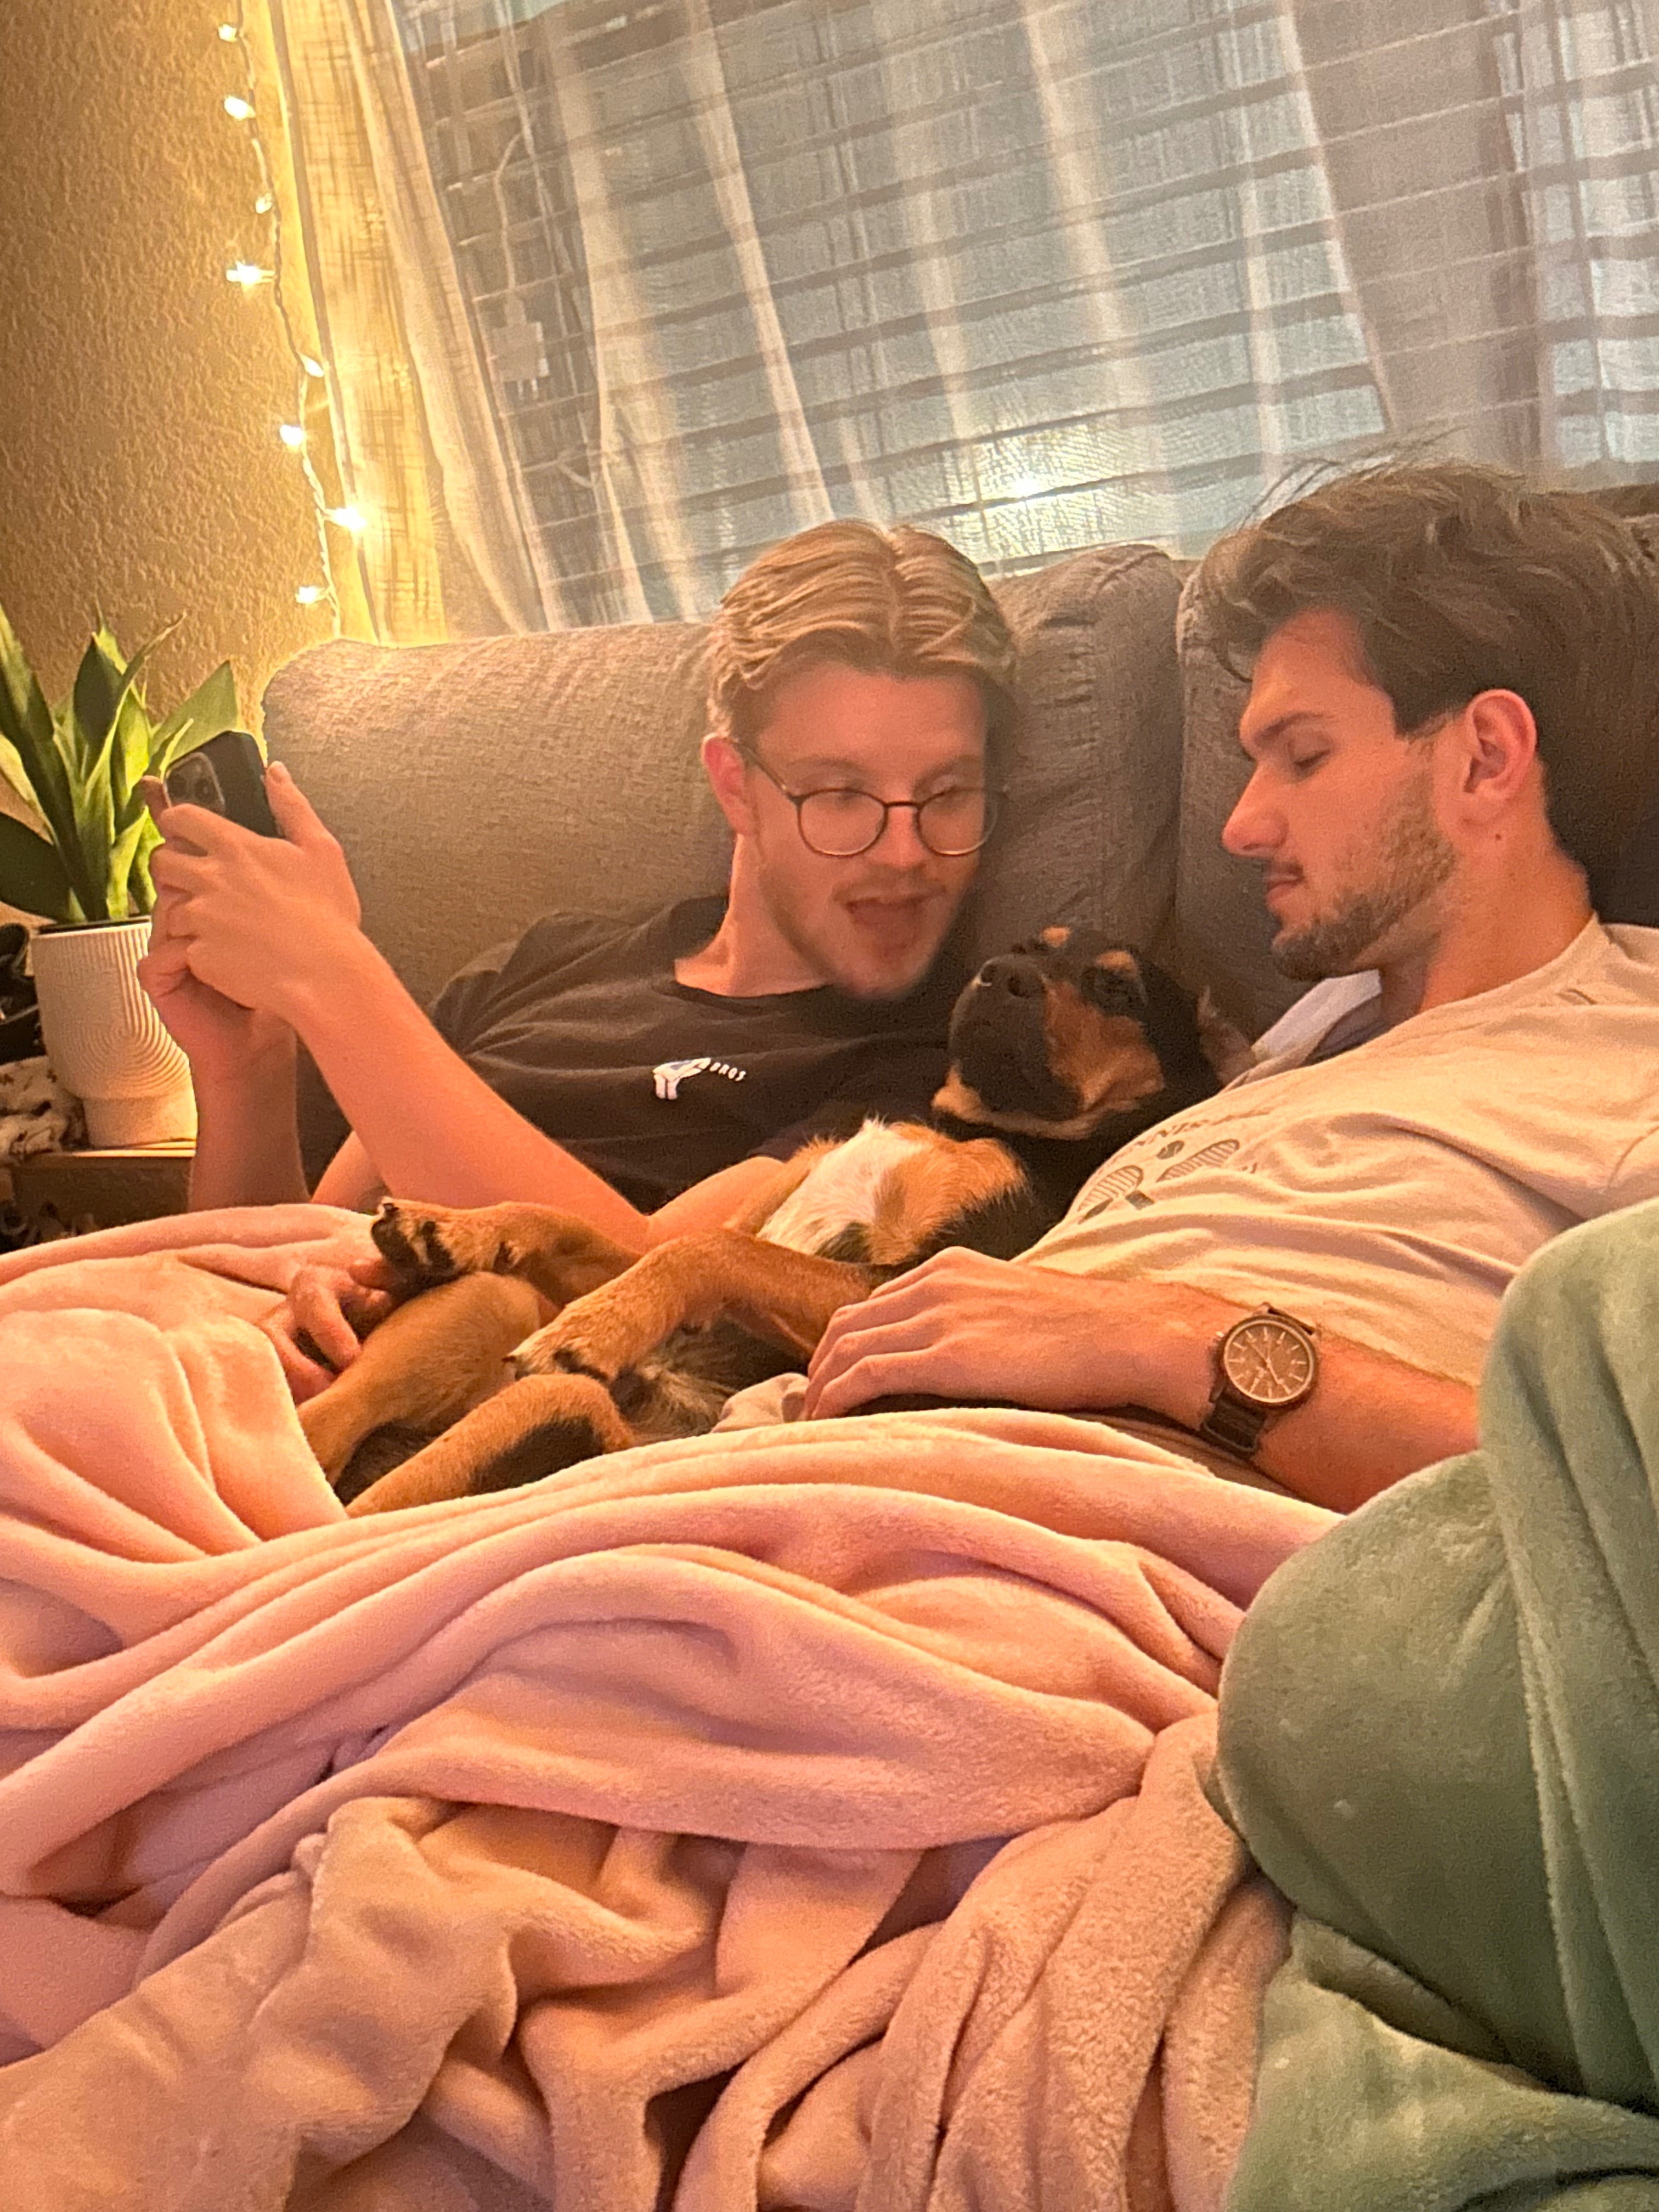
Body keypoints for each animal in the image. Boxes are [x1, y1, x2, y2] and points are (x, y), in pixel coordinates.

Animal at [299, 929, 1241, 1512]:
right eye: (1025, 949)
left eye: (1117, 988)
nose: (995, 976)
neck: (976, 1124)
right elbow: (583, 1225)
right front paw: (457, 1225)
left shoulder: (900, 1284)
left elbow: (703, 1246)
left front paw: (597, 1327)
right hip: (480, 1308)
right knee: (325, 1431)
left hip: (554, 1408)